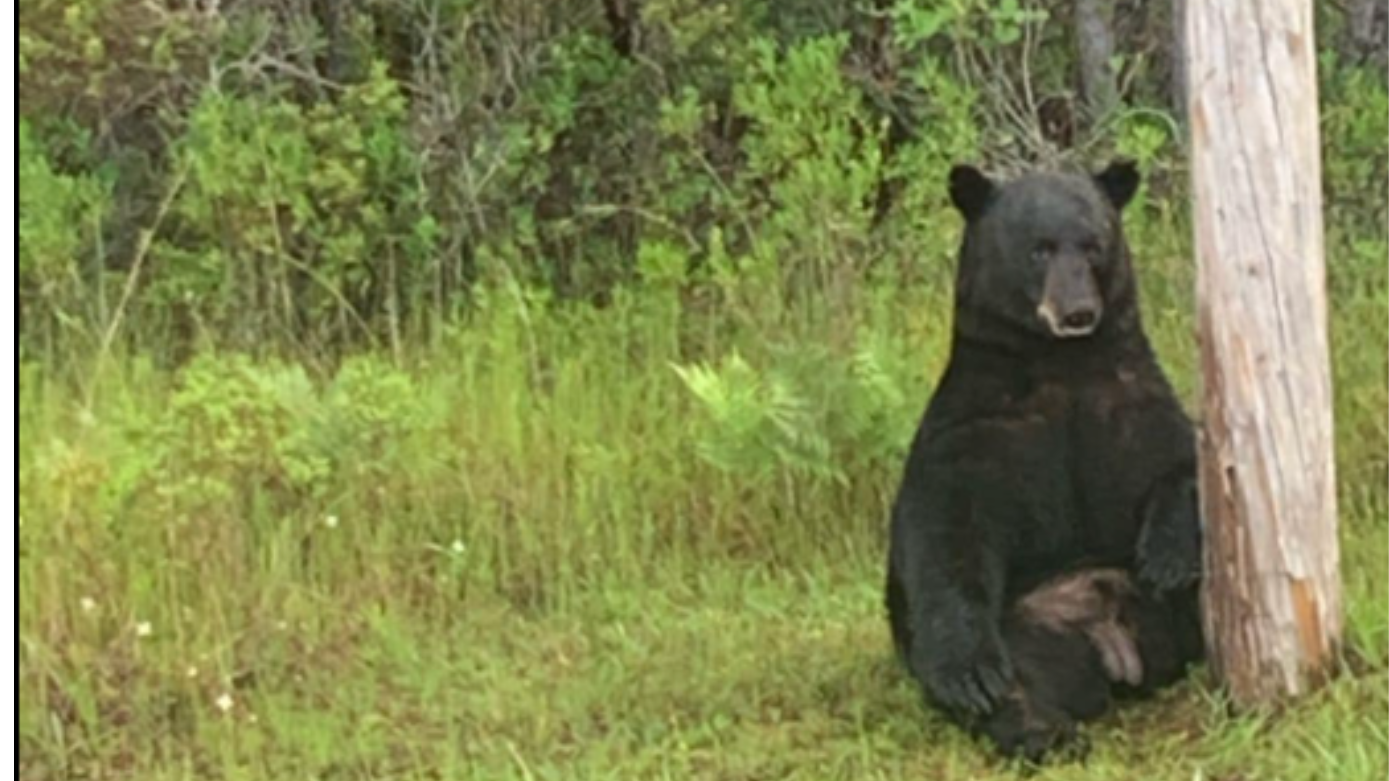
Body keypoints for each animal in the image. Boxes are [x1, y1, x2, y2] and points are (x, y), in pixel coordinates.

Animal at [888, 161, 1205, 755]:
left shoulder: (1132, 400)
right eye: (1039, 249)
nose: (1078, 311)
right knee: (1017, 679)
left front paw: (1168, 555)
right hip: (1026, 629)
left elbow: (1184, 459)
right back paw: (1041, 730)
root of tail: (1112, 643)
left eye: (1094, 245)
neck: (1062, 363)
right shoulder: (977, 428)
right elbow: (946, 532)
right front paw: (966, 675)